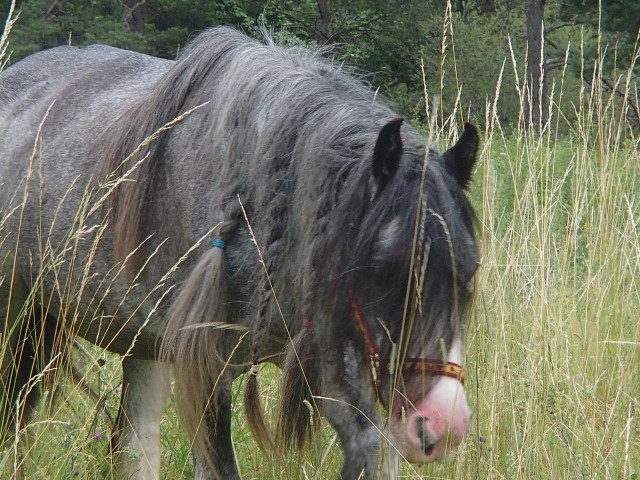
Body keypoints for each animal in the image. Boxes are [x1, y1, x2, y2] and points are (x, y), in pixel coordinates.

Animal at [0, 27, 480, 480]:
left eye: (470, 269)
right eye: (382, 267)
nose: (441, 424)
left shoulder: (336, 366)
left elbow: (371, 450)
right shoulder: (208, 372)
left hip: (145, 347)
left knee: (134, 443)